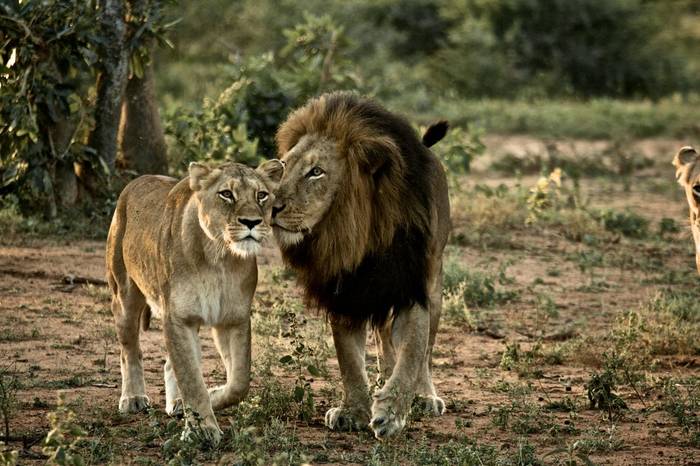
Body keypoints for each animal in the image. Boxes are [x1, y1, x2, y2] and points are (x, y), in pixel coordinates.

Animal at [106, 159, 284, 445]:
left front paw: (212, 397)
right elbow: (190, 377)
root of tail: (136, 180)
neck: (219, 257)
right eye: (226, 194)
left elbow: (239, 382)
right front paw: (202, 430)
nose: (252, 222)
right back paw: (133, 398)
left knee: (171, 362)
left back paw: (177, 403)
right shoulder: (178, 318)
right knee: (130, 349)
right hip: (124, 295)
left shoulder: (233, 318)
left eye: (261, 195)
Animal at [272, 91, 450, 439]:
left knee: (426, 352)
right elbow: (350, 362)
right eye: (284, 166)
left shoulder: (412, 289)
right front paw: (353, 411)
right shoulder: (346, 293)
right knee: (384, 338)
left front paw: (391, 413)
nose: (269, 205)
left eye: (316, 172)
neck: (360, 234)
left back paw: (425, 395)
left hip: (434, 286)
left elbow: (412, 355)